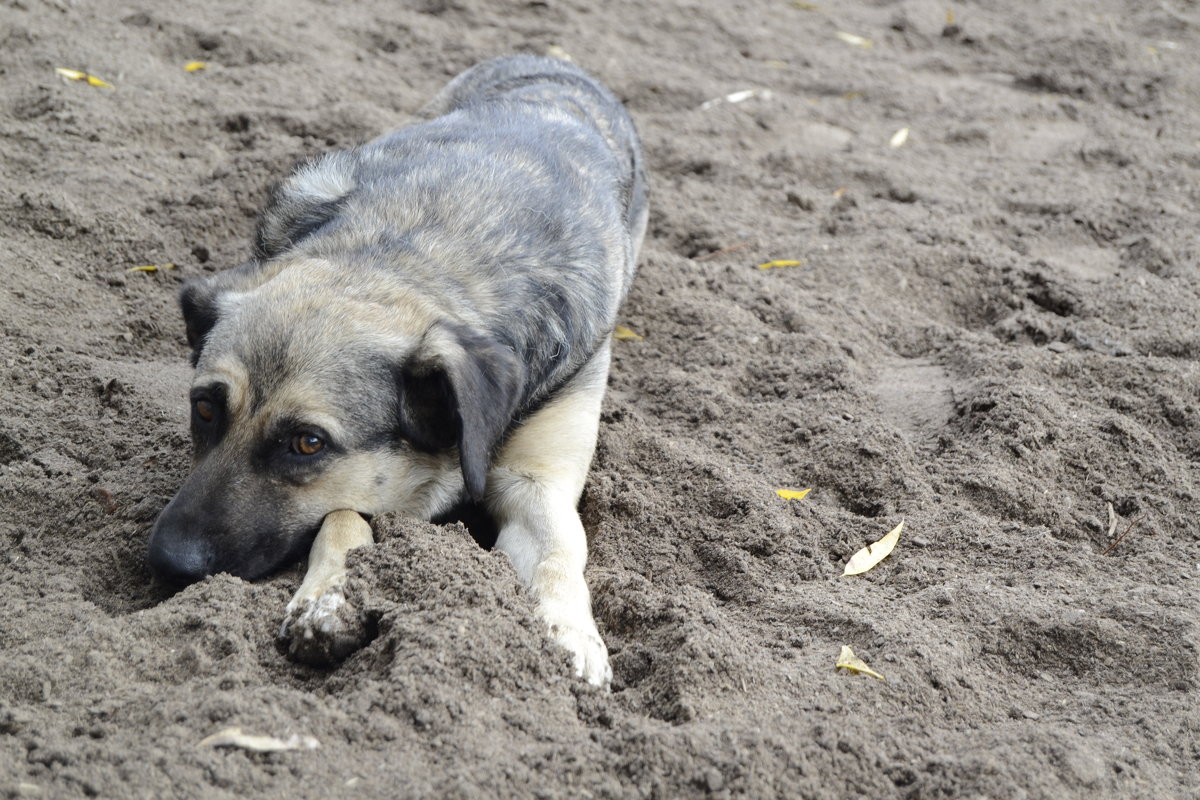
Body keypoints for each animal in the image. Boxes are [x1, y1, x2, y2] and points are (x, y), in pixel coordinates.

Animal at [146, 54, 652, 690]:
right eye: (205, 407)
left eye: (307, 443)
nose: (166, 562)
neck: (418, 253)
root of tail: (548, 59)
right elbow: (342, 514)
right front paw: (330, 598)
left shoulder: (538, 478)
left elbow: (561, 546)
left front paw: (570, 634)